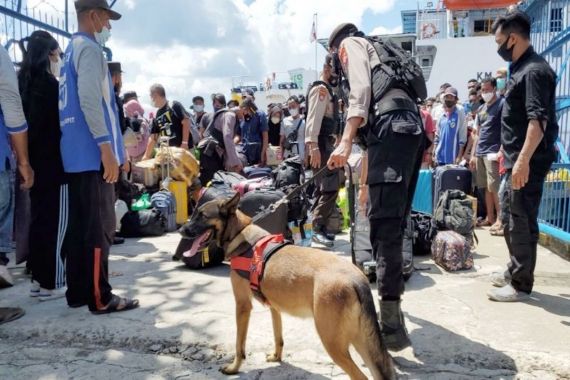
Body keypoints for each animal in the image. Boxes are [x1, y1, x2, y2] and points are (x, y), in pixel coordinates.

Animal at [180, 193, 392, 380]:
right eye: (194, 213)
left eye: (202, 215)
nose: (181, 230)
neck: (240, 234)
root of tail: (357, 278)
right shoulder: (274, 308)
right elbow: (278, 336)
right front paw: (276, 357)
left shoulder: (242, 306)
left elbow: (239, 345)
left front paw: (234, 368)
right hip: (362, 342)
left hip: (334, 343)